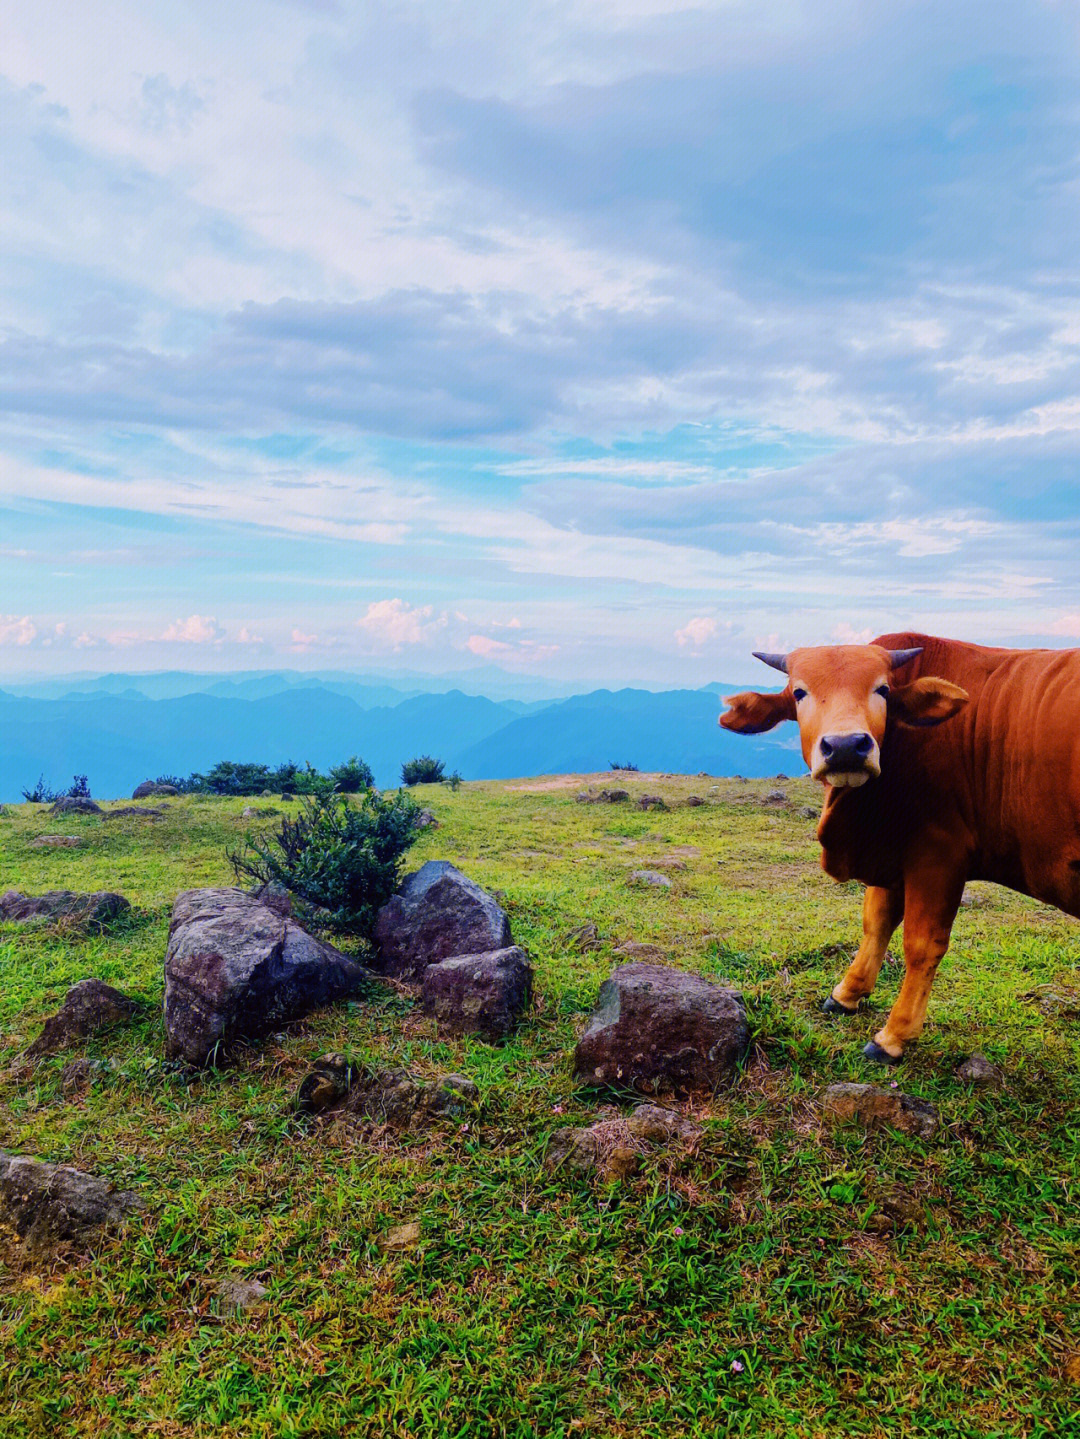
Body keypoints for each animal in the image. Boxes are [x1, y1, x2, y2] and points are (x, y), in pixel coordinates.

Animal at [719, 636, 1080, 1064]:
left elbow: (922, 944)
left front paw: (894, 1035)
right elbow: (876, 920)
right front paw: (847, 993)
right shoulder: (893, 849)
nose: (846, 746)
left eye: (883, 690)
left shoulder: (938, 853)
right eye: (799, 692)